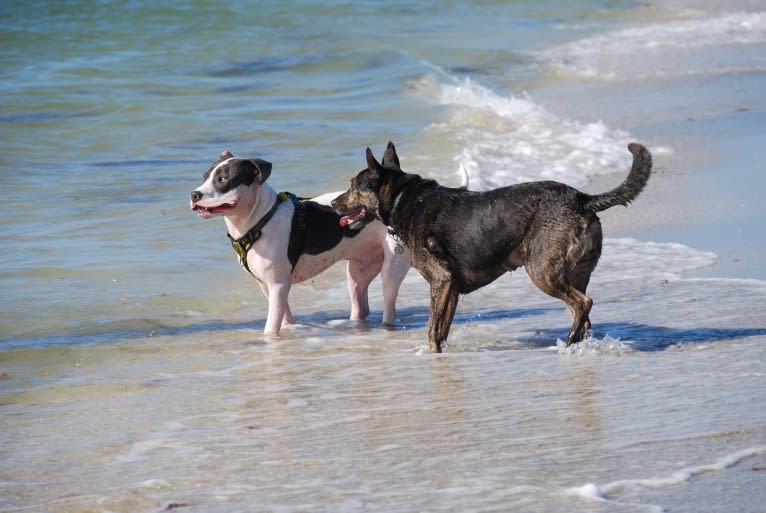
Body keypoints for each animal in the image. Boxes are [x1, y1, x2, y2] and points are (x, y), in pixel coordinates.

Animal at [332, 143, 652, 352]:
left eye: (353, 186)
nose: (334, 202)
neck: (404, 198)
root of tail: (581, 199)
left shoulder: (440, 280)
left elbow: (431, 327)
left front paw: (430, 354)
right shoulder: (452, 288)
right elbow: (442, 328)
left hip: (541, 270)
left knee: (583, 304)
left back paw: (568, 343)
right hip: (577, 271)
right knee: (582, 314)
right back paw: (576, 343)